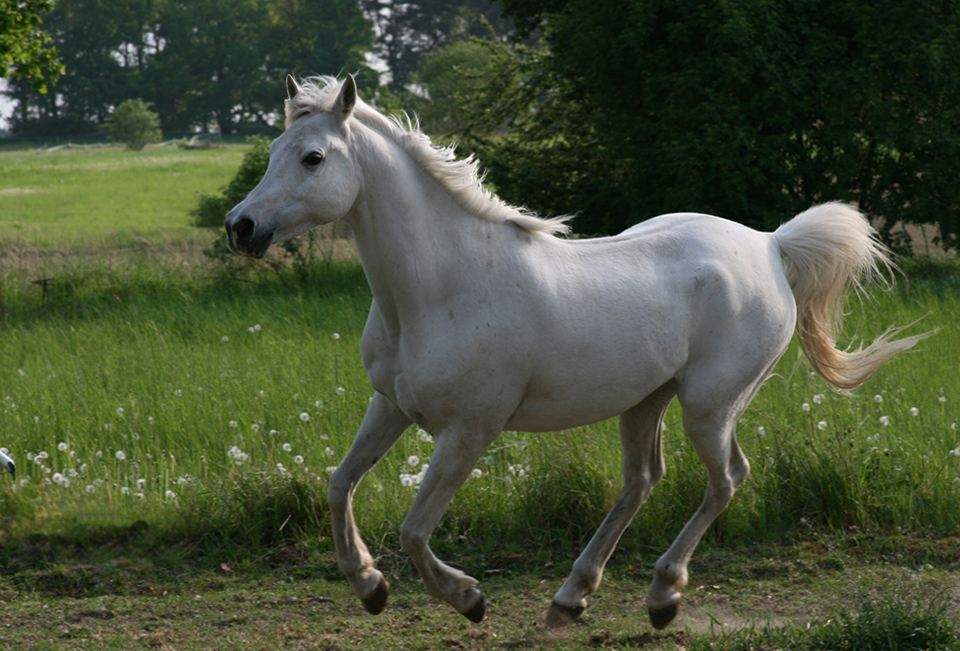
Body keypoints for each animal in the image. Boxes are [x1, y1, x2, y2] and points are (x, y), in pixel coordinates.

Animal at [225, 74, 924, 628]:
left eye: (313, 157)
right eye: (273, 151)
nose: (240, 227)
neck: (442, 286)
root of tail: (770, 244)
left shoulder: (469, 430)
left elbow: (415, 530)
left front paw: (467, 598)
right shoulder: (390, 406)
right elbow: (339, 484)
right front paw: (369, 587)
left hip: (711, 404)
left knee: (726, 480)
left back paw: (663, 597)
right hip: (646, 400)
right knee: (641, 482)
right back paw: (571, 596)